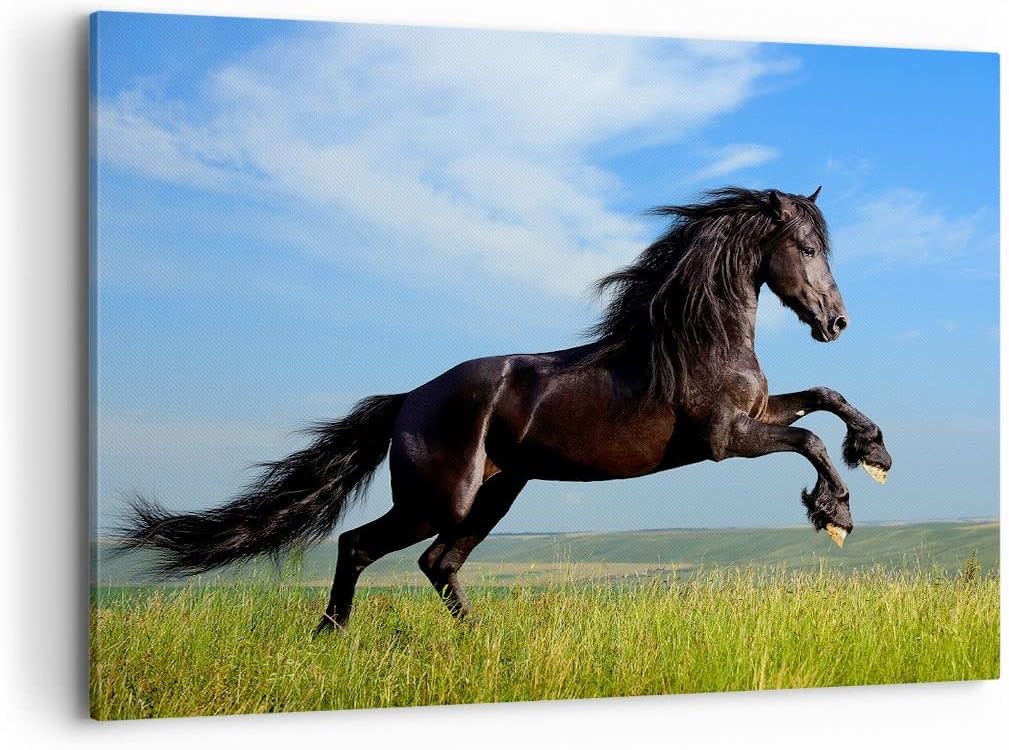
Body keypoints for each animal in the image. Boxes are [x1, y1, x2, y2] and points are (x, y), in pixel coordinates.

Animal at [119, 186, 893, 633]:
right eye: (806, 247)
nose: (836, 322)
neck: (696, 339)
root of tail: (408, 401)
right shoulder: (726, 438)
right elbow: (808, 441)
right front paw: (836, 514)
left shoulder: (758, 411)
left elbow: (825, 399)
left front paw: (875, 453)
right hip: (439, 498)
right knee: (361, 546)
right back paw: (331, 636)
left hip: (496, 493)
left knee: (437, 562)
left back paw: (477, 639)